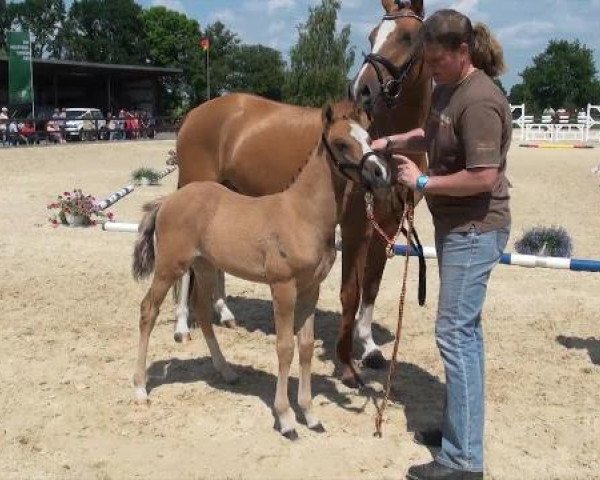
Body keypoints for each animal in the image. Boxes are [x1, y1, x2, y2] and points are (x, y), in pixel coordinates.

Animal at [132, 103, 394, 440]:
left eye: (369, 138)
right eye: (341, 143)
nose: (380, 173)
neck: (301, 214)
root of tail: (167, 200)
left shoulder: (310, 289)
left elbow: (305, 347)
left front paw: (311, 415)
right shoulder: (282, 287)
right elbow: (285, 348)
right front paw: (286, 419)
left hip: (205, 266)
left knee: (202, 311)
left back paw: (227, 371)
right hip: (169, 267)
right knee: (148, 310)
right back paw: (140, 389)